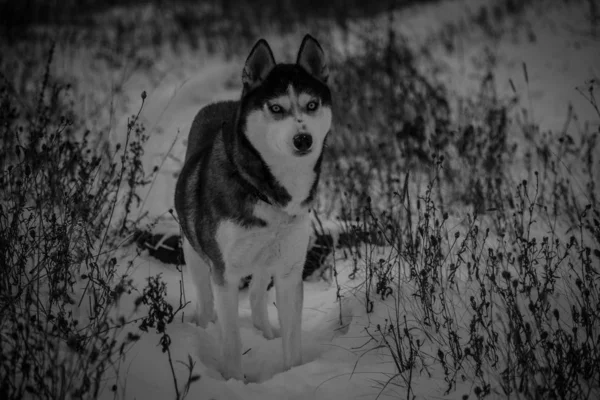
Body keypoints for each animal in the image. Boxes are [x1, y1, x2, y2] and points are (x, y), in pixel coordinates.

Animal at [173, 35, 332, 382]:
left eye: (312, 105)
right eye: (276, 108)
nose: (303, 139)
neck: (267, 192)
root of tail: (221, 103)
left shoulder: (289, 271)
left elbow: (292, 340)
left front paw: (292, 375)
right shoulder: (225, 274)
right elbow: (231, 341)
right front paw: (234, 380)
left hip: (266, 259)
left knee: (259, 295)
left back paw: (265, 333)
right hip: (194, 253)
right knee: (206, 300)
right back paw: (204, 326)